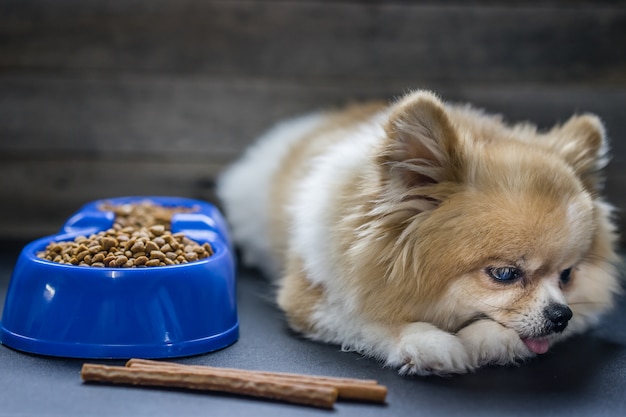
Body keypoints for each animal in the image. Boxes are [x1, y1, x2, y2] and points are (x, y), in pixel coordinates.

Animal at [216, 90, 620, 374]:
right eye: (505, 274)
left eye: (567, 275)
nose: (561, 315)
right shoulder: (310, 298)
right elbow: (369, 319)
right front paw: (429, 344)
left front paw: (482, 341)